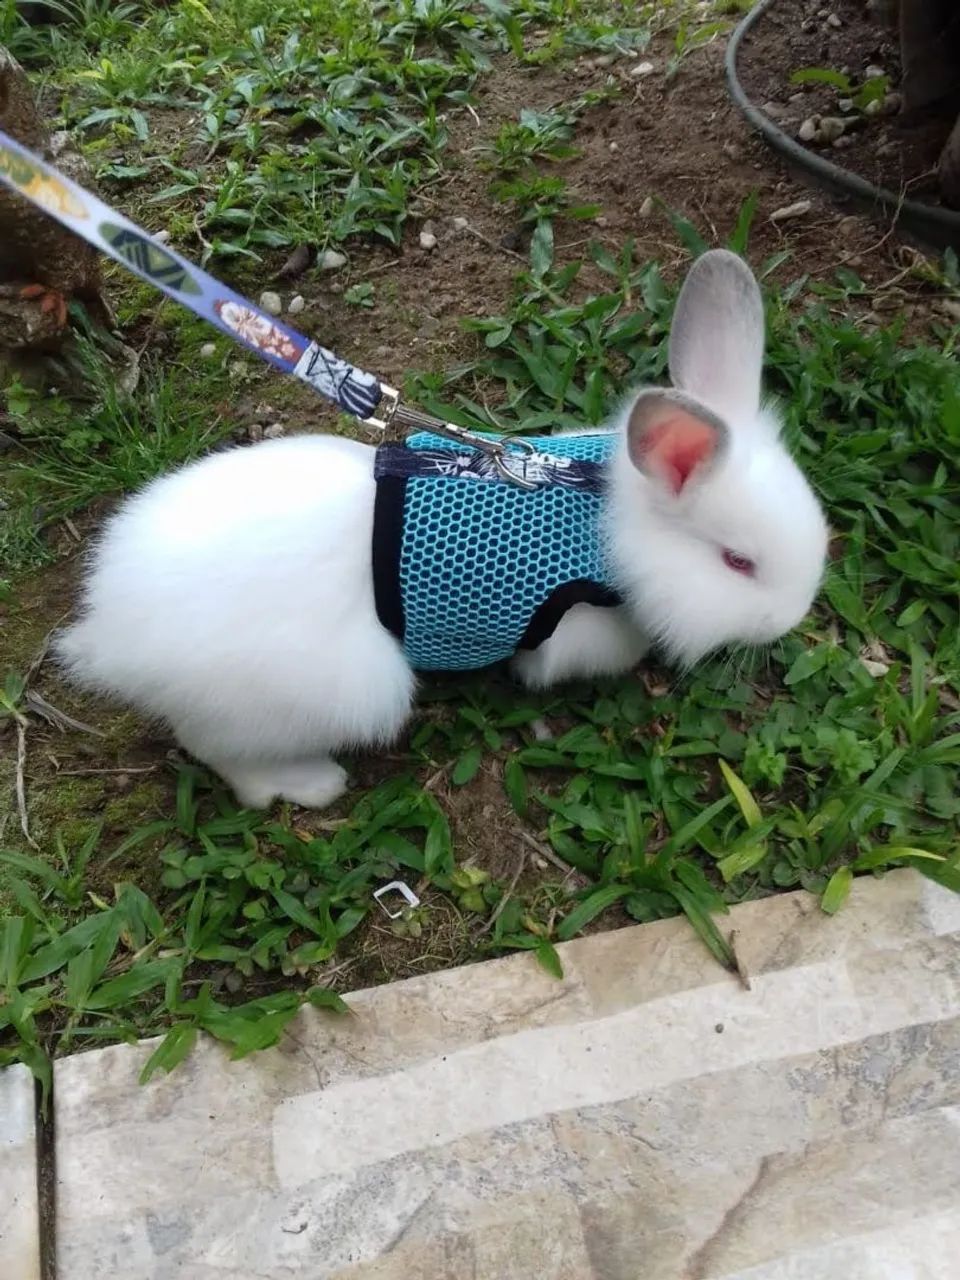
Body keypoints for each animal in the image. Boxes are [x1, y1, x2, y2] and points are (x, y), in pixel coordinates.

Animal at [57, 250, 828, 809]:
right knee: (224, 756)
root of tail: (112, 635)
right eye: (737, 563)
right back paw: (309, 785)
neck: (607, 520)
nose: (789, 619)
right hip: (335, 694)